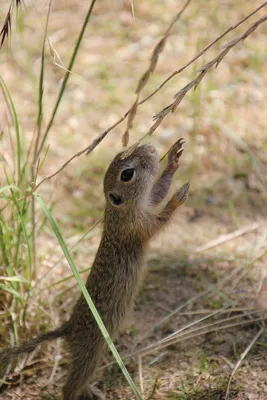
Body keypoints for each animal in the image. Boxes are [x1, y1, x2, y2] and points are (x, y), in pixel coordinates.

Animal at [0, 139, 191, 398]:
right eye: (127, 174)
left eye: (123, 152)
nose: (151, 148)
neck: (117, 212)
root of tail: (68, 329)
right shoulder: (139, 225)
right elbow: (161, 219)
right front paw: (179, 196)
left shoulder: (146, 203)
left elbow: (158, 191)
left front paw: (173, 159)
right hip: (90, 353)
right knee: (69, 386)